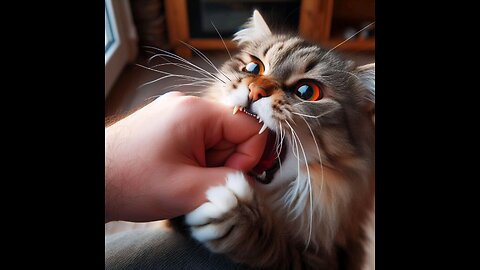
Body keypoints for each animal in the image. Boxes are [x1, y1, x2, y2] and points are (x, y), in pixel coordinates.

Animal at [172, 10, 376, 270]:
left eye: (307, 92)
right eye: (253, 68)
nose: (255, 90)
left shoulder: (325, 257)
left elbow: (277, 250)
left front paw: (236, 214)